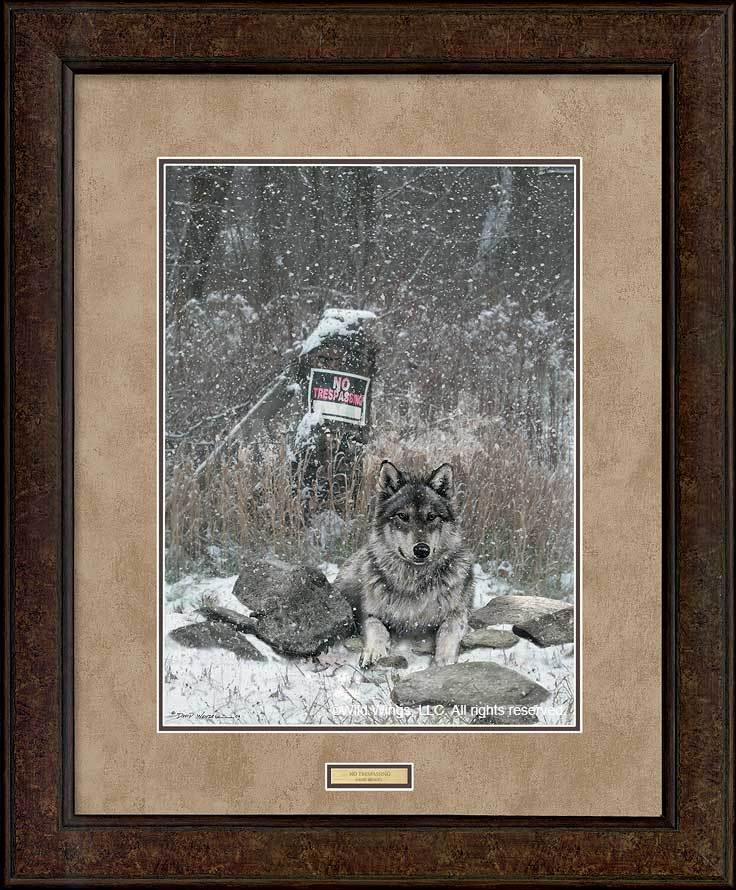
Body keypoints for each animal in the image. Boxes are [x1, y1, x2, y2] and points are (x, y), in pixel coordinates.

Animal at [335, 460, 474, 667]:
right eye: (402, 516)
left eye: (431, 517)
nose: (422, 550)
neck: (413, 582)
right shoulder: (369, 613)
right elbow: (376, 627)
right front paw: (373, 652)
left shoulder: (458, 613)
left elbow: (448, 631)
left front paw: (444, 661)